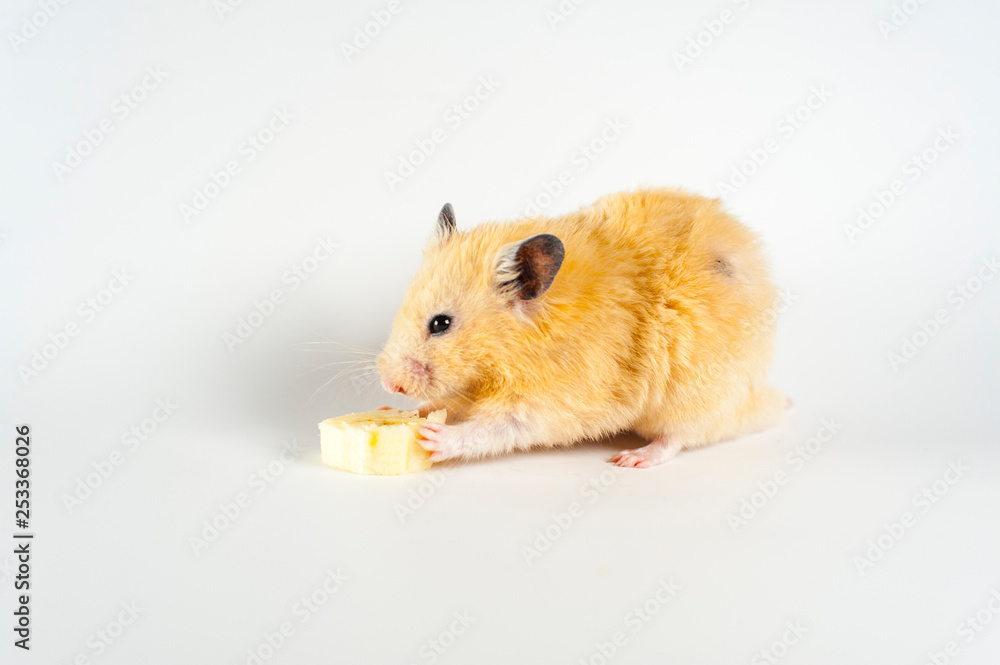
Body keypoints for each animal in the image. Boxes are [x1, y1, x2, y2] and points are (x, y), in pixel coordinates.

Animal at [377, 188, 786, 468]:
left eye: (441, 324)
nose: (389, 384)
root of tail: (759, 400)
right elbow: (449, 402)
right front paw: (397, 411)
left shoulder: (553, 403)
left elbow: (497, 429)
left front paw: (434, 436)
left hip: (694, 396)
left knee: (678, 438)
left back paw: (632, 458)